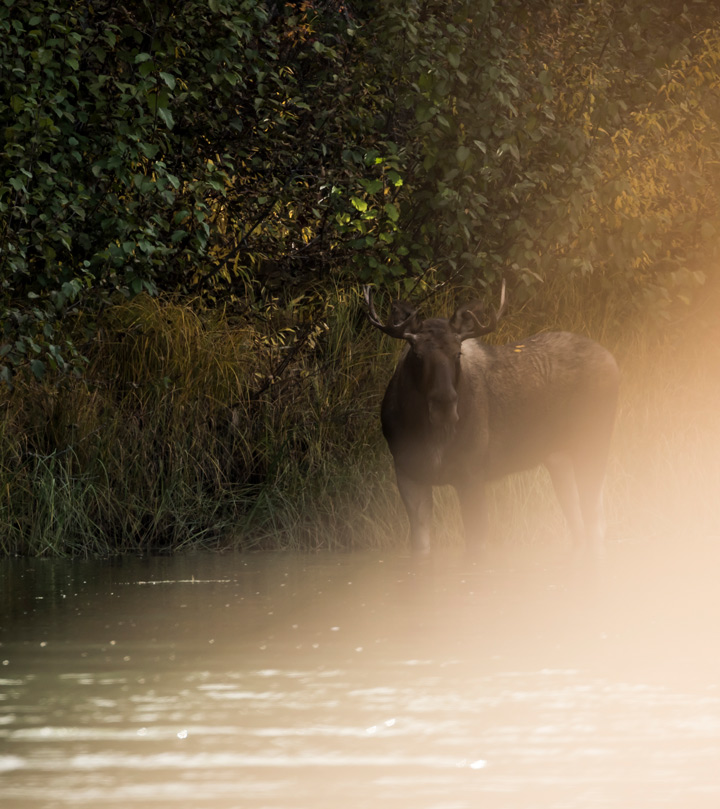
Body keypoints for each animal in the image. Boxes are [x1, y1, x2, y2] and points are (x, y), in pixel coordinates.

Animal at [366, 280, 620, 552]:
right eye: (417, 354)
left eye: (457, 353)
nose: (444, 405)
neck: (427, 434)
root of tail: (613, 361)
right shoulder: (408, 473)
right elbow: (421, 549)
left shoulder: (471, 474)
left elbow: (476, 547)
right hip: (559, 457)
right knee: (579, 523)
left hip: (594, 445)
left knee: (596, 520)